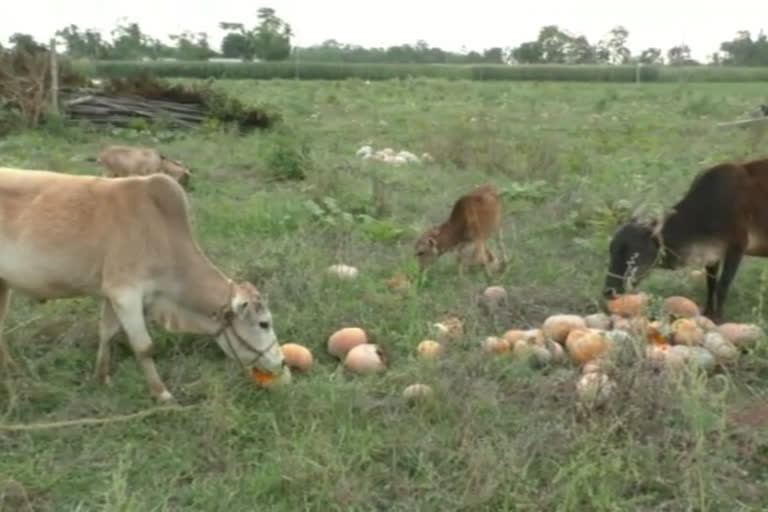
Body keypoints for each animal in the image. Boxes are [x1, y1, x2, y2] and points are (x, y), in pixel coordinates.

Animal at [0, 167, 282, 400]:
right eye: (263, 323)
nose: (280, 361)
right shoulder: (126, 295)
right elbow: (144, 347)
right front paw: (162, 395)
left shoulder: (112, 294)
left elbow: (106, 333)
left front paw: (101, 377)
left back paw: (10, 369)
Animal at [604, 158, 768, 322]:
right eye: (611, 251)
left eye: (633, 254)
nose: (608, 291)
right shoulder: (712, 253)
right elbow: (711, 283)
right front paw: (707, 313)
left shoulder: (737, 246)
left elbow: (722, 286)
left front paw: (718, 319)